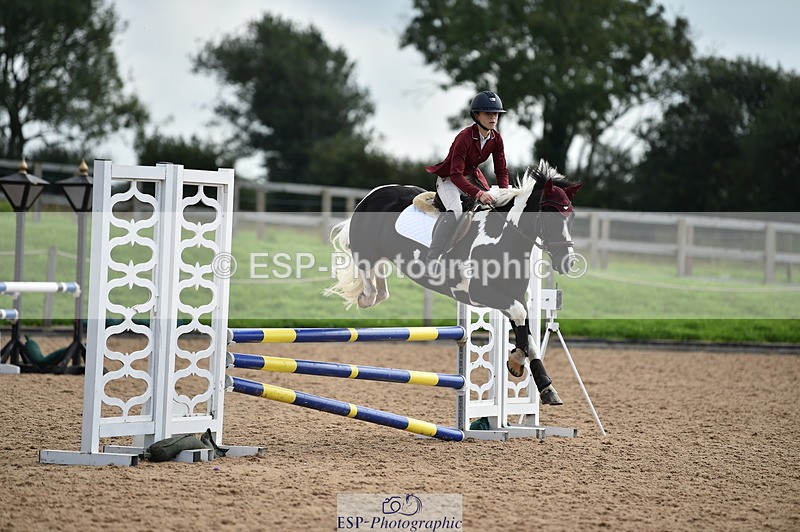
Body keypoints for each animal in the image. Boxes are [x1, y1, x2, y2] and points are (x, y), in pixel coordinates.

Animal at [324, 160, 582, 406]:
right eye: (549, 215)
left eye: (571, 217)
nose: (568, 263)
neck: (503, 238)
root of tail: (373, 194)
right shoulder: (480, 293)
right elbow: (520, 318)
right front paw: (517, 360)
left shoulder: (512, 298)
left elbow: (528, 334)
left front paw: (546, 387)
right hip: (366, 252)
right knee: (371, 288)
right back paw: (364, 297)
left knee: (380, 286)